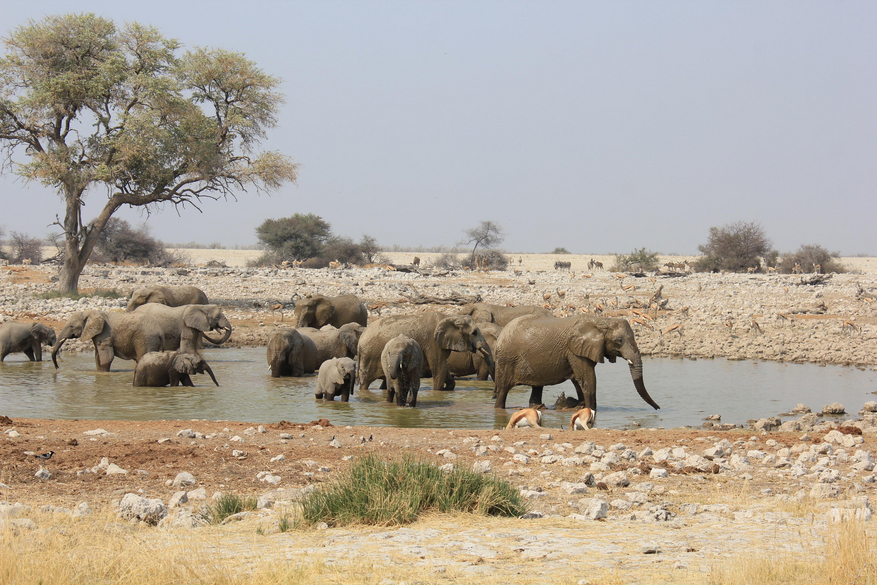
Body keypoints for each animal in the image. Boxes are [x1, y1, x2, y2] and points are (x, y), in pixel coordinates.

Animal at [356, 310, 492, 392]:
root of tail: (361, 339)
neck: (451, 317)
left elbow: (443, 368)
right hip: (370, 355)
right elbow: (439, 367)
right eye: (474, 333)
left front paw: (448, 388)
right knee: (365, 381)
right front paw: (437, 392)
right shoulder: (433, 343)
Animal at [492, 314, 656, 410]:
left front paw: (581, 406)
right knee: (503, 390)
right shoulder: (574, 351)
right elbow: (587, 378)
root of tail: (502, 333)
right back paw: (499, 409)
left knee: (537, 387)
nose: (657, 408)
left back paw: (537, 407)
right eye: (619, 341)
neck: (600, 320)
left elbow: (578, 380)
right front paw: (590, 410)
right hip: (506, 359)